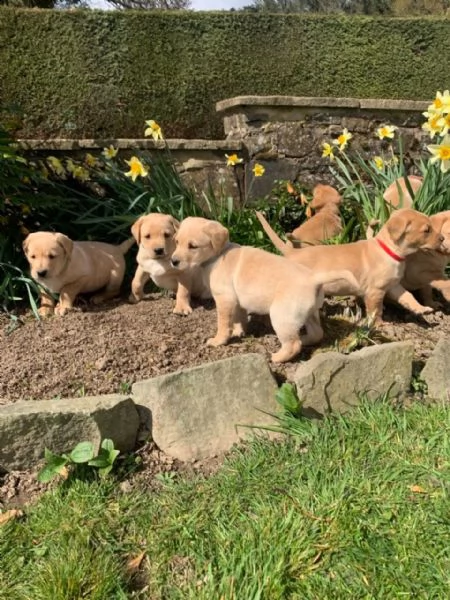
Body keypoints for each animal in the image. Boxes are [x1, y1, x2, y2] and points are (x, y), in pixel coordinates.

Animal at [171, 218, 354, 364]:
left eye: (193, 246)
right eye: (177, 242)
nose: (173, 261)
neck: (218, 254)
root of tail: (313, 279)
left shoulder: (225, 299)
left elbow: (223, 323)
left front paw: (218, 340)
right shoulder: (237, 301)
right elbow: (239, 317)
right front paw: (238, 331)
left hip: (282, 316)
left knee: (293, 345)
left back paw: (277, 357)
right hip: (309, 313)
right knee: (317, 333)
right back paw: (304, 338)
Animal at [256, 209, 442, 326]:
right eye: (426, 230)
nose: (442, 239)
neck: (389, 250)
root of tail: (291, 252)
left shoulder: (393, 286)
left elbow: (409, 297)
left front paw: (422, 309)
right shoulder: (375, 291)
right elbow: (376, 310)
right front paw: (379, 324)